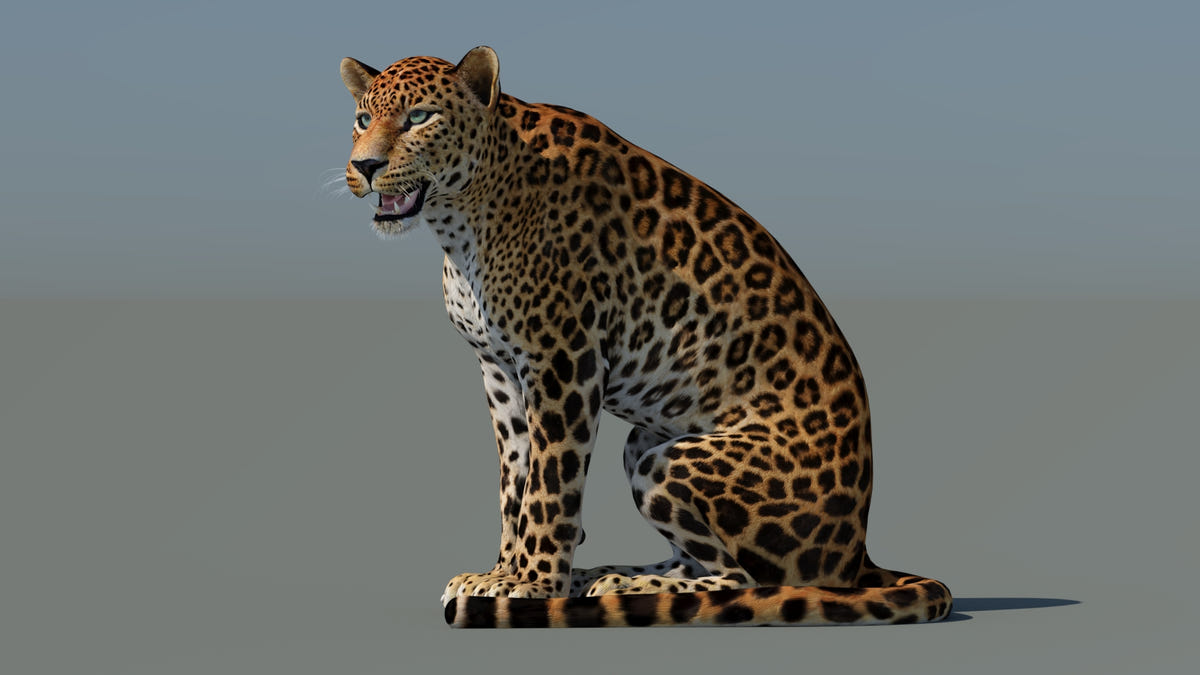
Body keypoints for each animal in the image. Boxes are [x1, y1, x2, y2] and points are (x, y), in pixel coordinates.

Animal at [339, 46, 952, 627]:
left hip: (673, 461)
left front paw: (532, 585)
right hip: (644, 441)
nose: (364, 165)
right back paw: (607, 577)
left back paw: (615, 585)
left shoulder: (564, 361)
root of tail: (857, 554)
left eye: (420, 117)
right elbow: (515, 478)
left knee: (748, 581)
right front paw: (499, 573)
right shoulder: (500, 371)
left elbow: (549, 484)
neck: (460, 225)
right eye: (362, 119)